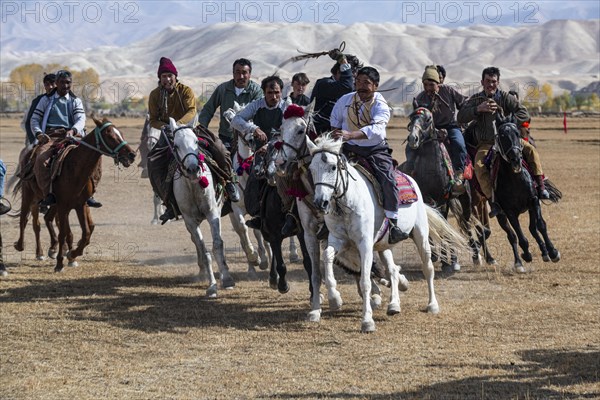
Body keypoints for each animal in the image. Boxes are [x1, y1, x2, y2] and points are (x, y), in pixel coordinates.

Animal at [20, 116, 136, 272]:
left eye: (121, 133)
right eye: (110, 136)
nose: (132, 155)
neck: (74, 169)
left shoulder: (79, 205)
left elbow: (86, 232)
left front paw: (72, 254)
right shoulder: (64, 206)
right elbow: (64, 233)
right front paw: (60, 263)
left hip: (53, 203)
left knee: (47, 218)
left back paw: (52, 249)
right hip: (29, 194)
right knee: (26, 220)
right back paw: (23, 247)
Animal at [169, 118, 234, 296]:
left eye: (196, 141)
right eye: (176, 145)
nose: (193, 169)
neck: (194, 187)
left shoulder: (213, 214)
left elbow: (217, 245)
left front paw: (227, 279)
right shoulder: (190, 221)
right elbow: (203, 250)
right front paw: (211, 285)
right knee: (196, 243)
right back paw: (203, 272)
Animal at [304, 136, 468, 332]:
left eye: (333, 167)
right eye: (312, 169)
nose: (320, 202)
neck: (348, 202)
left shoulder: (365, 244)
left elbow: (365, 281)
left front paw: (367, 321)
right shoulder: (338, 240)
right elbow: (328, 257)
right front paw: (335, 299)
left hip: (420, 235)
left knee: (427, 268)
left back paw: (432, 305)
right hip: (384, 245)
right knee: (392, 270)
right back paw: (394, 305)